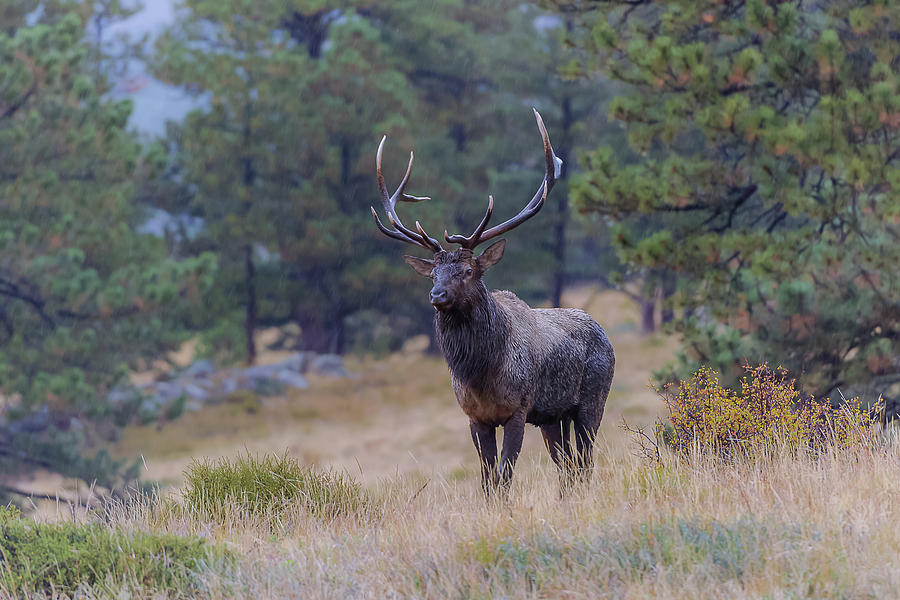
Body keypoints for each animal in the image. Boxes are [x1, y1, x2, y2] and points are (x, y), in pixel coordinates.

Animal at [370, 110, 616, 494]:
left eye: (468, 270)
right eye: (433, 274)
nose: (436, 295)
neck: (482, 374)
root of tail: (604, 333)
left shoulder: (518, 409)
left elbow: (505, 473)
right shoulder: (476, 417)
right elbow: (487, 478)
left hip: (592, 401)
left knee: (585, 459)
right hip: (552, 416)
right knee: (567, 465)